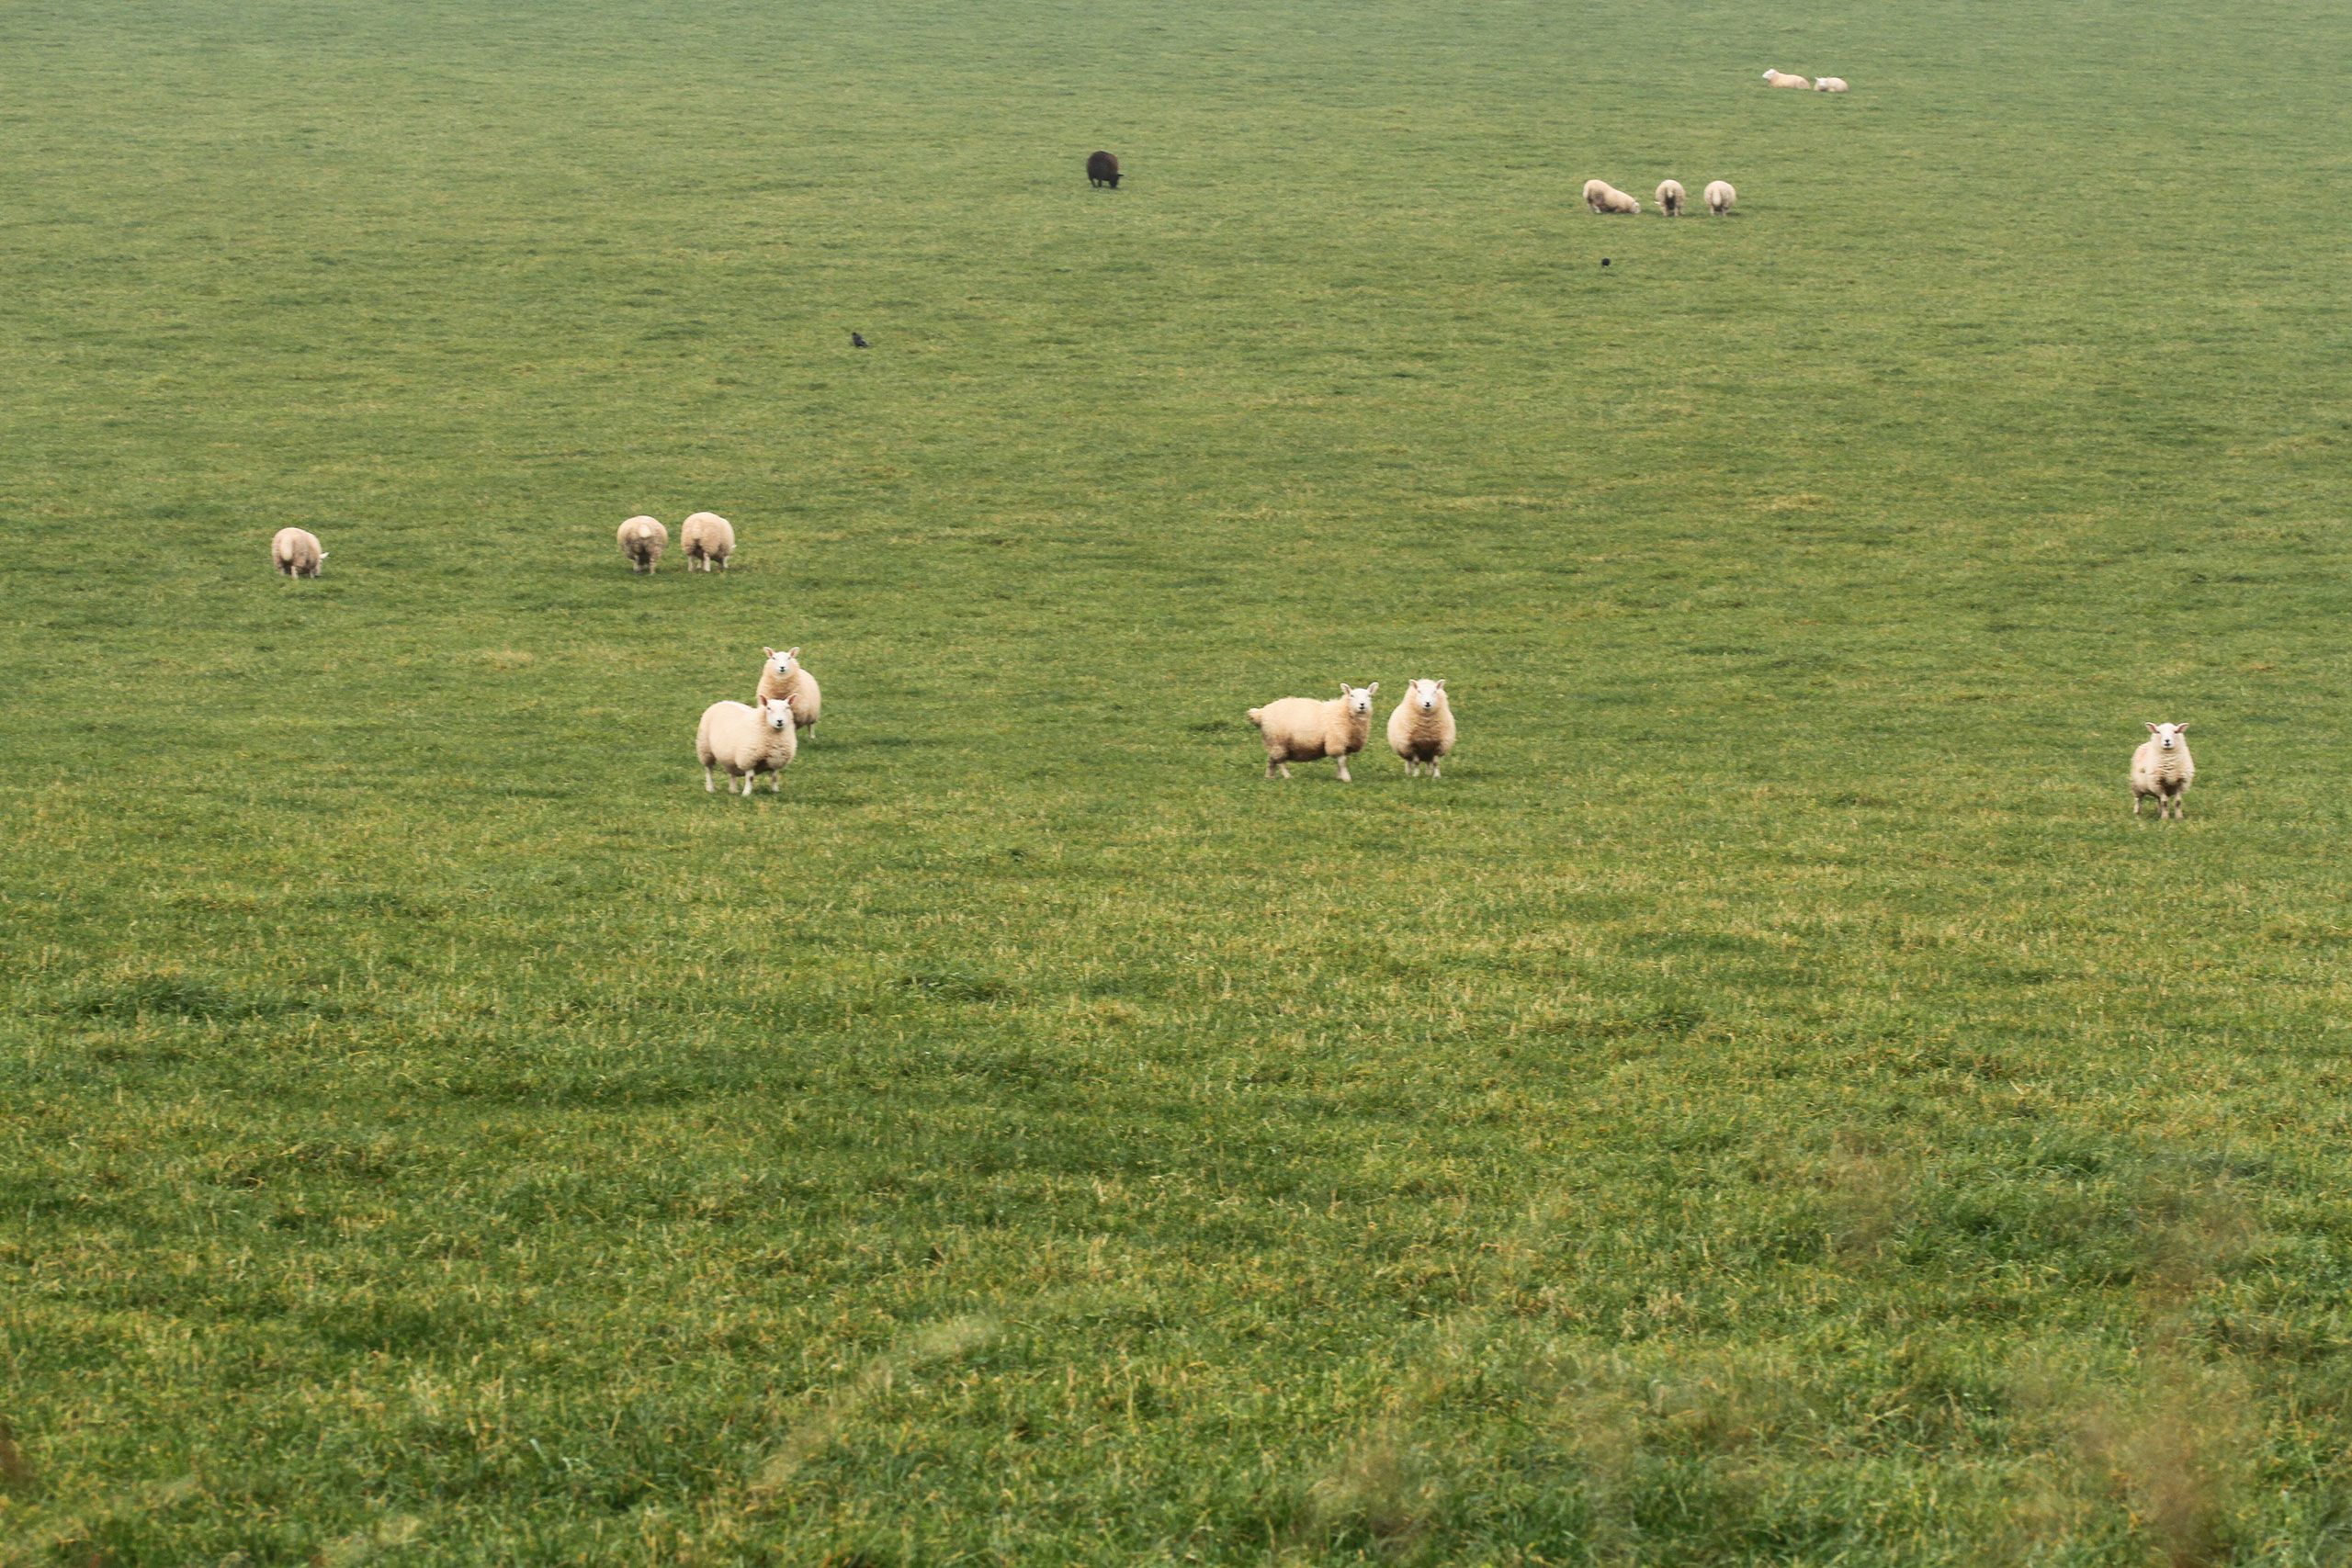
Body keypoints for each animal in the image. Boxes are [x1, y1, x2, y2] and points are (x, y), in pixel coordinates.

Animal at [1247, 682, 1378, 781]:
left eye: (1369, 696)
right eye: (1352, 695)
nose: (1362, 705)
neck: (1343, 711)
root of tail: (1261, 713)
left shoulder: (1345, 743)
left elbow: (1341, 762)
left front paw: (1339, 777)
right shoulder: (1336, 741)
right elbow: (1342, 761)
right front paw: (1346, 778)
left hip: (1272, 741)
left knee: (1271, 759)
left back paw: (1269, 777)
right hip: (1278, 741)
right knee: (1280, 761)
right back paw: (1287, 776)